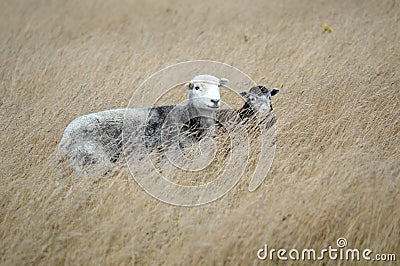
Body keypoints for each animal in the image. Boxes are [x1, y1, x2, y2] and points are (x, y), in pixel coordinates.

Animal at [57, 74, 230, 174]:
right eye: (197, 87)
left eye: (219, 86)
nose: (215, 101)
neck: (189, 117)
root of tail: (64, 140)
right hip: (94, 159)